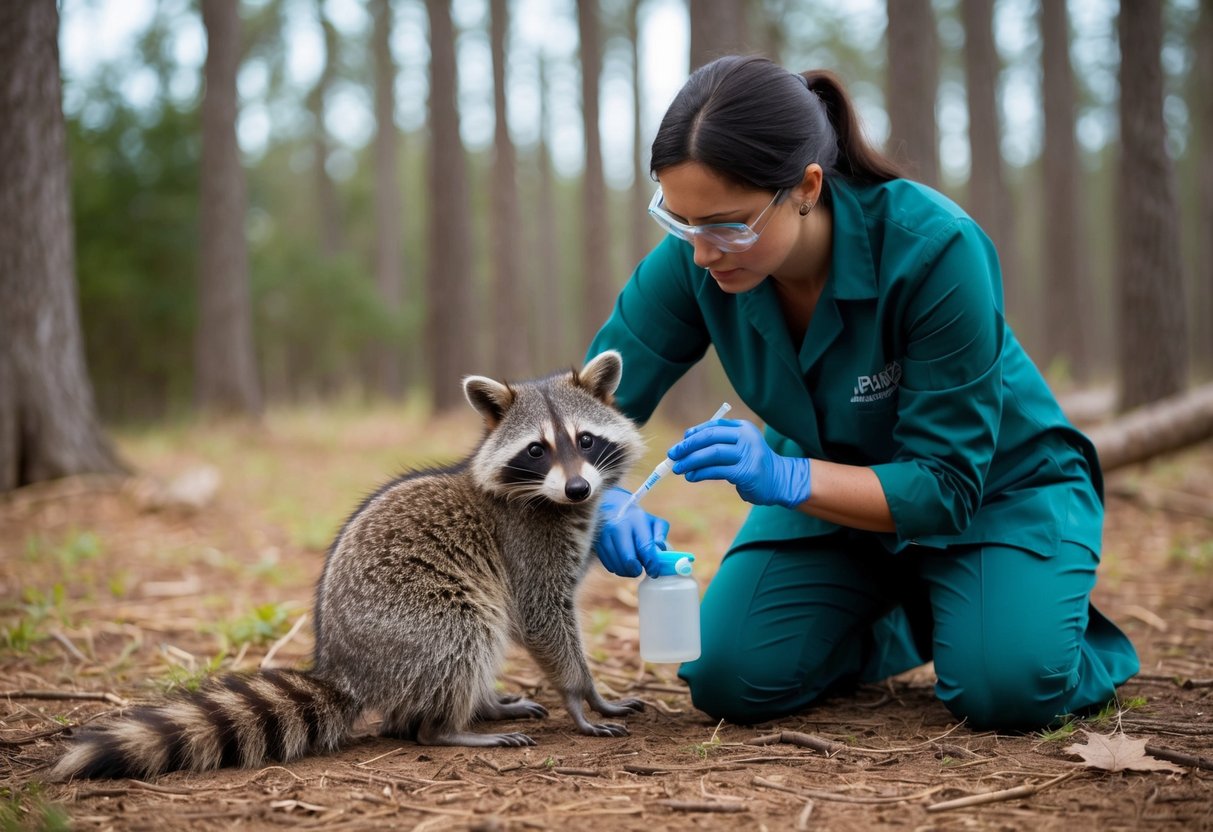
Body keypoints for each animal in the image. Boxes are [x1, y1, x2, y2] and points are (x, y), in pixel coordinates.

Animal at [49, 350, 646, 781]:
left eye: (585, 440)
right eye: (537, 450)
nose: (578, 488)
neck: (554, 500)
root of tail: (342, 665)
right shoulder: (526, 543)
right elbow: (542, 618)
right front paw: (582, 696)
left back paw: (479, 704)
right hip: (413, 618)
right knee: (464, 633)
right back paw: (446, 727)